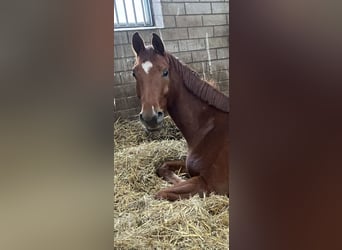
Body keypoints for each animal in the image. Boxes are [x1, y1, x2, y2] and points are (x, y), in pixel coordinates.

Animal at [132, 32, 228, 201]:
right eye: (134, 73)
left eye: (165, 71)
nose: (150, 118)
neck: (209, 129)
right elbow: (162, 167)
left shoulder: (209, 184)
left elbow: (161, 193)